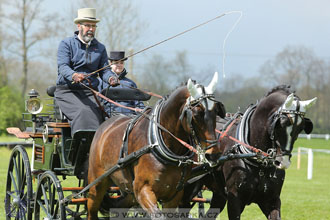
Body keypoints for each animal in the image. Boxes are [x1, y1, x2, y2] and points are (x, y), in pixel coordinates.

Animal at [87, 72, 227, 218]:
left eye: (216, 111)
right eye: (196, 114)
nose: (214, 154)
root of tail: (106, 124)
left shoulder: (173, 195)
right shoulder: (143, 190)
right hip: (96, 184)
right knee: (92, 209)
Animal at [180, 84, 318, 220]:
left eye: (300, 128)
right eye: (280, 124)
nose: (283, 162)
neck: (259, 164)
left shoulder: (271, 200)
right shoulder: (235, 200)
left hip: (218, 194)